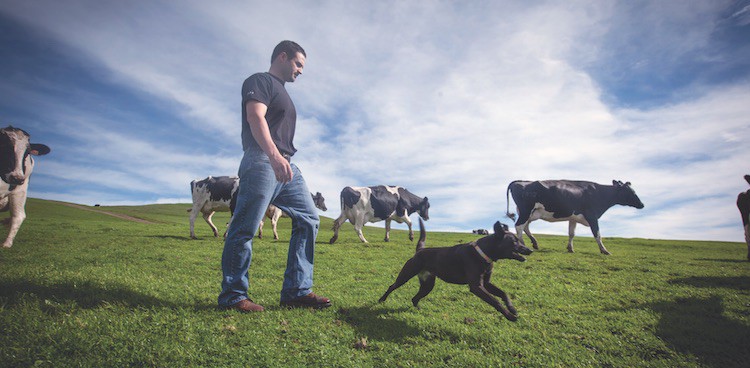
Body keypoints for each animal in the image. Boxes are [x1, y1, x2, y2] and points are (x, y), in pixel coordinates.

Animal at [506, 180, 648, 254]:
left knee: (525, 226)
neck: (599, 193)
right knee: (519, 226)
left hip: (531, 213)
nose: (642, 204)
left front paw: (570, 248)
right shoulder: (592, 216)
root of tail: (519, 181)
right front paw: (604, 250)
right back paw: (523, 244)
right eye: (631, 192)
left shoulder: (573, 218)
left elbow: (571, 233)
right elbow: (597, 234)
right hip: (526, 210)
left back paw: (534, 242)